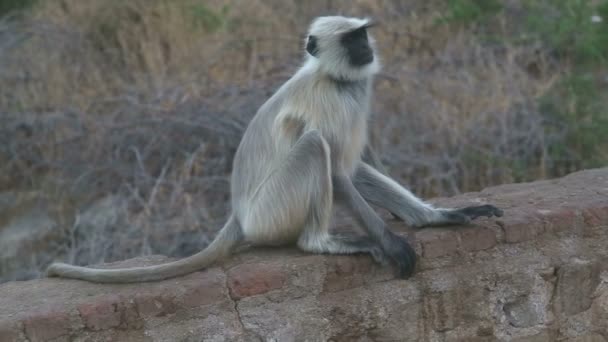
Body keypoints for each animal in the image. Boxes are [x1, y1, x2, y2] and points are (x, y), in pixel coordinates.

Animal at [46, 15, 504, 284]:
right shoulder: (330, 102)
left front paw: (437, 217)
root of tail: (239, 215)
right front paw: (391, 243)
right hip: (271, 212)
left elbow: (352, 171)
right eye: (353, 39)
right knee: (314, 147)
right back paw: (320, 243)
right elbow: (337, 172)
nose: (367, 48)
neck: (335, 79)